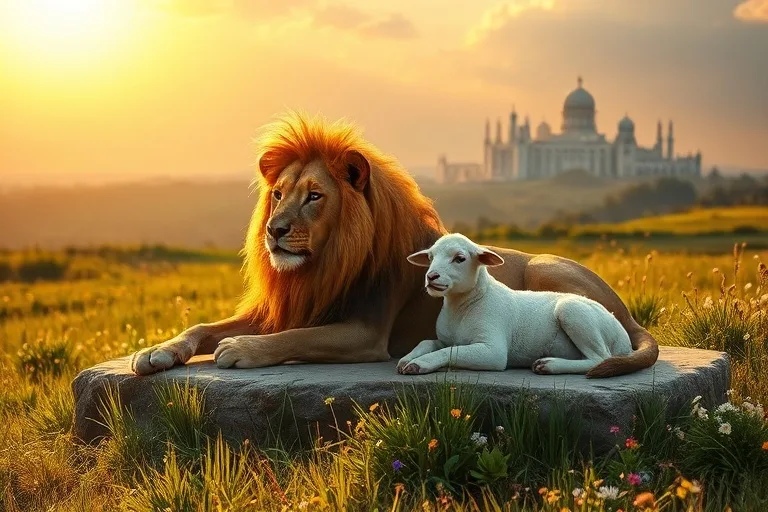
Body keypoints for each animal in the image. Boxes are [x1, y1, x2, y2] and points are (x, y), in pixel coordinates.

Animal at [131, 111, 658, 378]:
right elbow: (203, 325)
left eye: (315, 196)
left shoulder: (365, 333)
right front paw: (158, 352)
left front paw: (241, 348)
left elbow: (294, 338)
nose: (274, 231)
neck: (320, 267)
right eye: (278, 194)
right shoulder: (287, 306)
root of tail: (629, 314)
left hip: (550, 270)